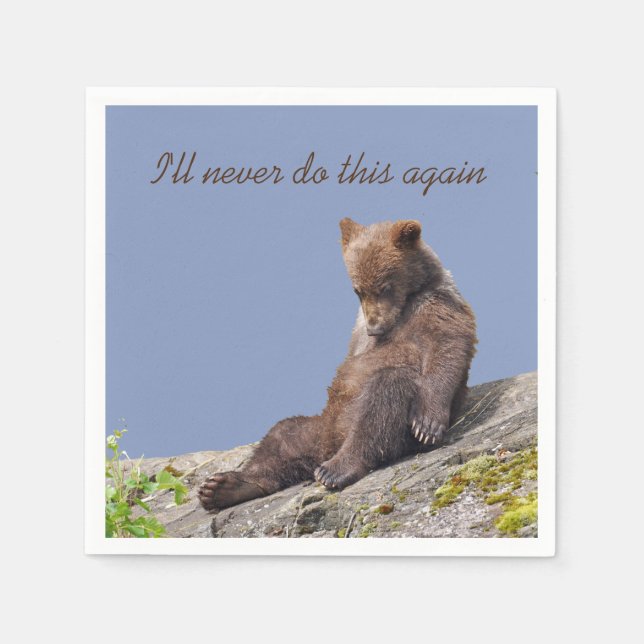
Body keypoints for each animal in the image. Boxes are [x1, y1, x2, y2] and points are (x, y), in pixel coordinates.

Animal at [198, 218, 477, 511]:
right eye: (357, 290)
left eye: (384, 286)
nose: (375, 328)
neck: (407, 303)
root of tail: (331, 446)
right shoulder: (358, 328)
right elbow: (352, 360)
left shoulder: (437, 307)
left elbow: (447, 349)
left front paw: (428, 424)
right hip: (321, 425)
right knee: (281, 436)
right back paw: (225, 487)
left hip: (386, 430)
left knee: (384, 395)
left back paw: (336, 469)